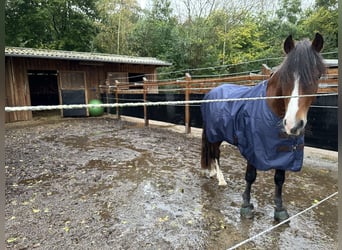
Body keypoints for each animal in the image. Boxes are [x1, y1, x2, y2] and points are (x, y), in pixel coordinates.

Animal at [202, 32, 324, 221]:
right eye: (286, 77)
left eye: (317, 76)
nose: (293, 124)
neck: (270, 109)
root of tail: (212, 92)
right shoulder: (252, 148)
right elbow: (250, 176)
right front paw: (246, 206)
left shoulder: (283, 152)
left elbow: (279, 179)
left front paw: (280, 209)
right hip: (215, 133)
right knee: (215, 153)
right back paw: (221, 179)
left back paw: (213, 173)